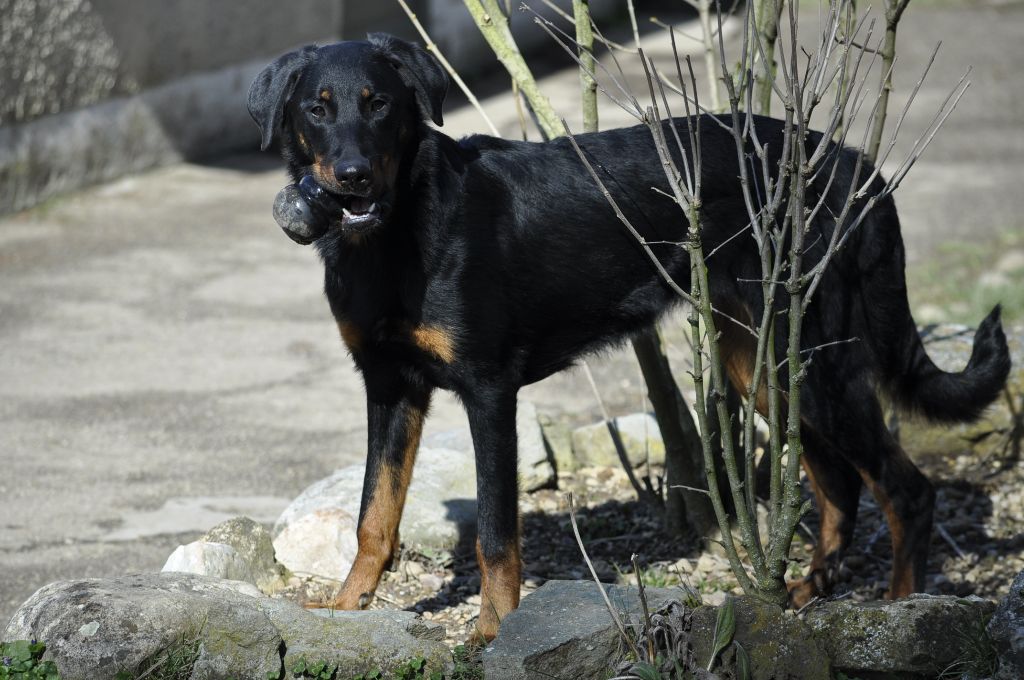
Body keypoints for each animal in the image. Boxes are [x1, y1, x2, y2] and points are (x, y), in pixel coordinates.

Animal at [247, 31, 1007, 639]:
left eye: (379, 104)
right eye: (317, 108)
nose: (351, 179)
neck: (396, 234)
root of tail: (856, 164)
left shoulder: (488, 393)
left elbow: (495, 534)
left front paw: (492, 631)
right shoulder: (389, 389)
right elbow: (373, 514)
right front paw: (346, 608)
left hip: (815, 363)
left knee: (906, 490)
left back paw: (903, 613)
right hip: (765, 365)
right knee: (840, 486)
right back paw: (803, 594)